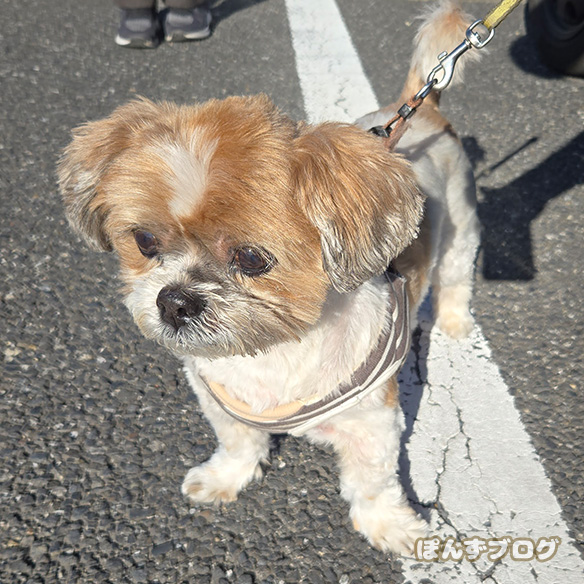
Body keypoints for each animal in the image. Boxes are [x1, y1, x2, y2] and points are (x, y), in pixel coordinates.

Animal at [58, 1, 480, 554]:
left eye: (252, 259)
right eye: (145, 241)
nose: (175, 301)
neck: (273, 353)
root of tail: (419, 108)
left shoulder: (372, 422)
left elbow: (372, 483)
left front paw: (390, 525)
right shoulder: (218, 396)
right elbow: (239, 441)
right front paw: (225, 477)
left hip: (459, 225)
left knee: (455, 275)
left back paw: (453, 321)